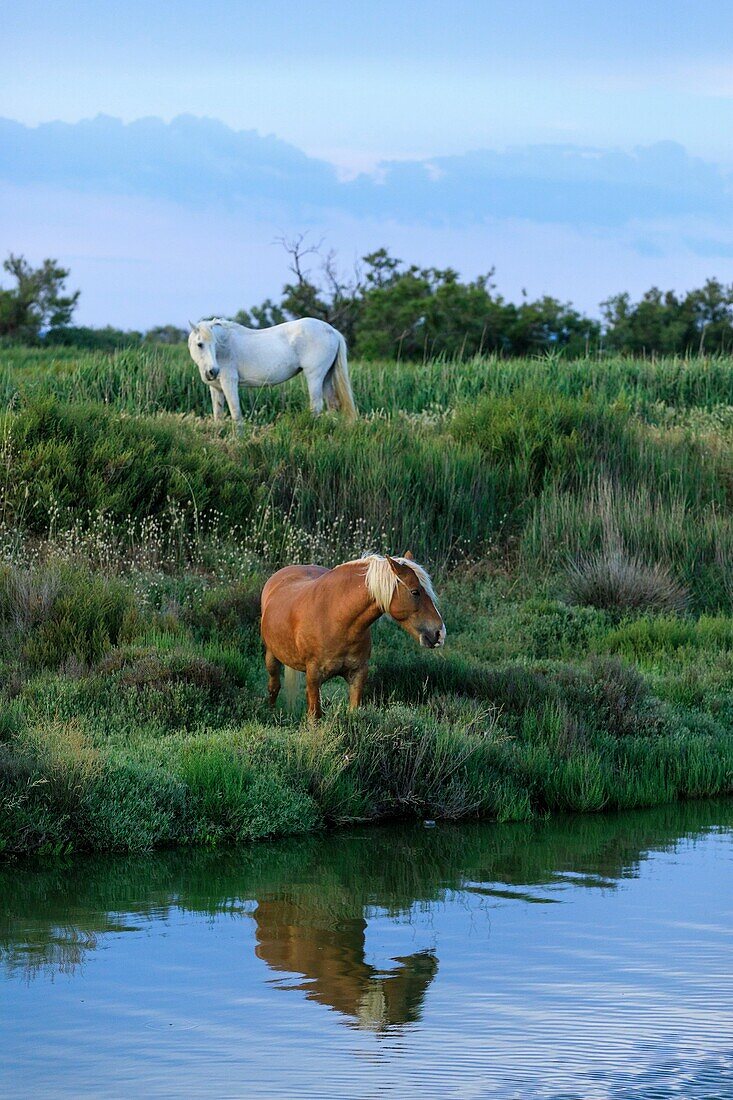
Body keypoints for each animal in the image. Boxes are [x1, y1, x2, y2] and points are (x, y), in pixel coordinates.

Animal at [187, 316, 354, 426]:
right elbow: (218, 415)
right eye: (200, 344)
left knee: (316, 406)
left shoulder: (229, 383)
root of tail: (332, 330)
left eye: (215, 344)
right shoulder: (216, 388)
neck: (225, 348)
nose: (213, 371)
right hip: (326, 377)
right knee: (332, 404)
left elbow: (236, 413)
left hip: (315, 377)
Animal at [263, 550, 444, 721]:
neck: (336, 618)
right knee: (274, 686)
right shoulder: (313, 676)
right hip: (272, 656)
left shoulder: (358, 674)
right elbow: (314, 715)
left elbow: (353, 713)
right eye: (415, 592)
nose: (439, 633)